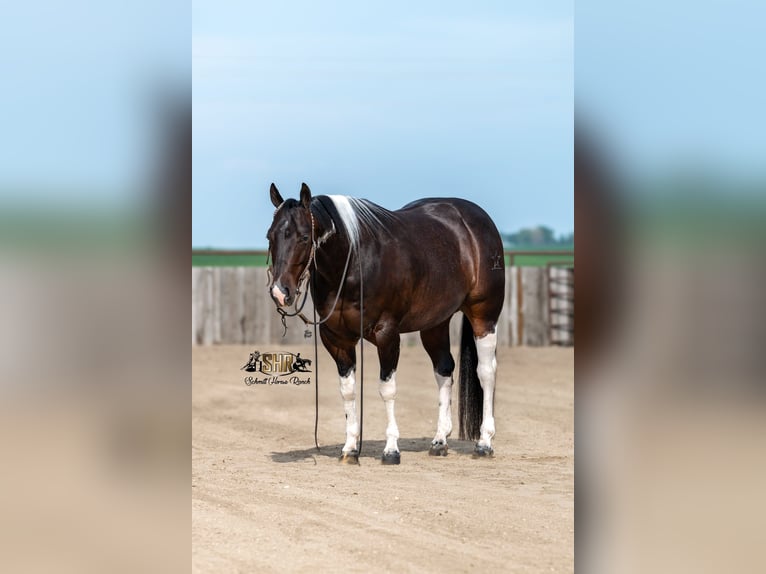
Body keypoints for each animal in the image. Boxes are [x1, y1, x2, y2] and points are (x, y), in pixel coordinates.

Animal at [266, 183, 505, 464]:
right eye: (270, 236)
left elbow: (387, 389)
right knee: (444, 370)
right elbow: (348, 391)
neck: (354, 260)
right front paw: (350, 449)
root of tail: (476, 219)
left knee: (486, 372)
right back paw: (440, 440)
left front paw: (391, 449)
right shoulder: (336, 339)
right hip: (435, 324)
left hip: (484, 317)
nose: (280, 292)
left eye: (304, 237)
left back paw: (485, 442)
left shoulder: (387, 334)